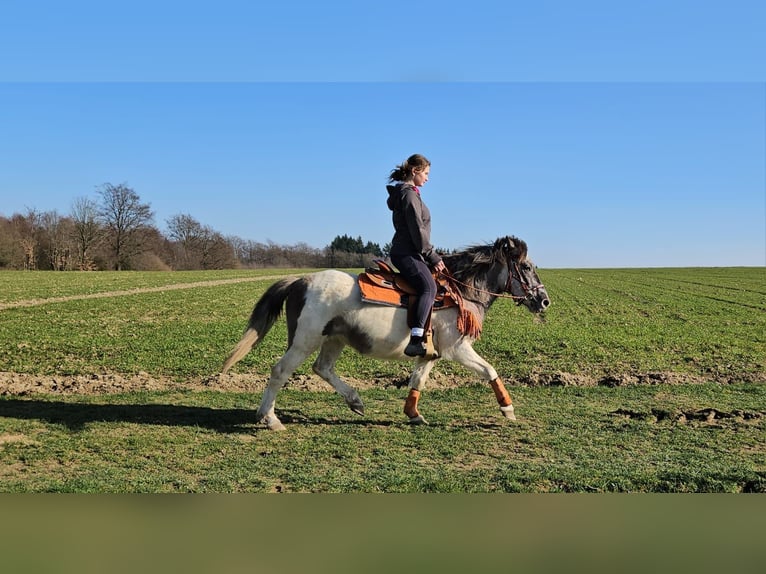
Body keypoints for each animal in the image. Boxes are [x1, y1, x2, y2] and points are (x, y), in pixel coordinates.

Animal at [221, 235, 550, 430]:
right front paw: (508, 408)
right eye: (526, 267)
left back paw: (355, 401)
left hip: (333, 339)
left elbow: (418, 381)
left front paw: (413, 414)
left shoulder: (430, 354)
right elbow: (489, 370)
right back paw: (269, 418)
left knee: (322, 368)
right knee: (280, 371)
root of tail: (300, 280)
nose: (544, 300)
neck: (458, 291)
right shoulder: (456, 349)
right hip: (305, 340)